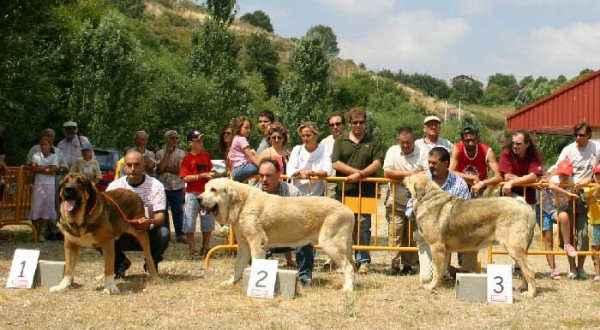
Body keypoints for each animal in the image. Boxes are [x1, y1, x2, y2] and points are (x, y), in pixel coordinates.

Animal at [406, 174, 536, 298]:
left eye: (409, 178)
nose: (403, 178)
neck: (427, 198)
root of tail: (528, 208)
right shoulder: (444, 251)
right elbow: (442, 269)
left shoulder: (436, 247)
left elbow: (436, 270)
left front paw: (431, 286)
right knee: (525, 270)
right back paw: (524, 288)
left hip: (514, 248)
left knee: (529, 270)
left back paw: (530, 293)